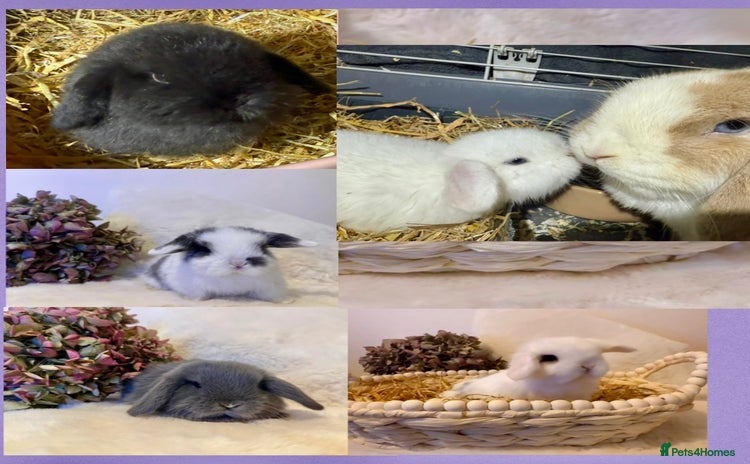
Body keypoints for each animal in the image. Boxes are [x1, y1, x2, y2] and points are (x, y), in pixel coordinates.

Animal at [142, 226, 317, 301]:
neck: (234, 278)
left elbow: (274, 297)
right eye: (205, 250)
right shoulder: (195, 288)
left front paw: (288, 301)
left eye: (262, 247)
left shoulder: (268, 288)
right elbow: (199, 296)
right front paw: (198, 301)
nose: (238, 263)